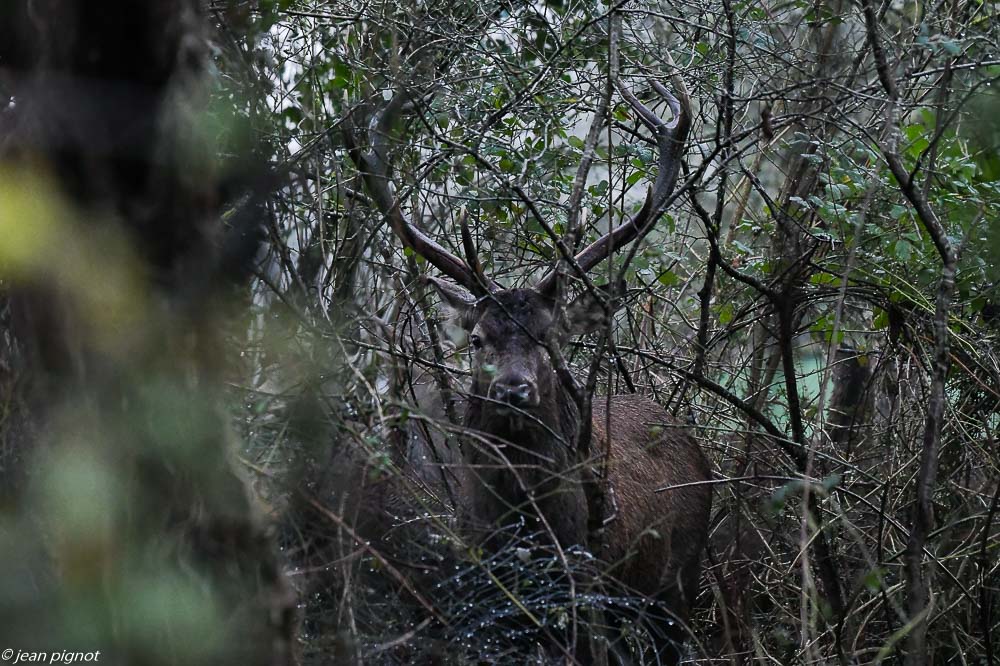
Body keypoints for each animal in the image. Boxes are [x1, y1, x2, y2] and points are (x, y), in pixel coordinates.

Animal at [344, 69, 712, 665]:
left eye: (550, 337)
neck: (526, 531)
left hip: (680, 581)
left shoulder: (585, 586)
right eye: (476, 338)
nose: (514, 390)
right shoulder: (479, 591)